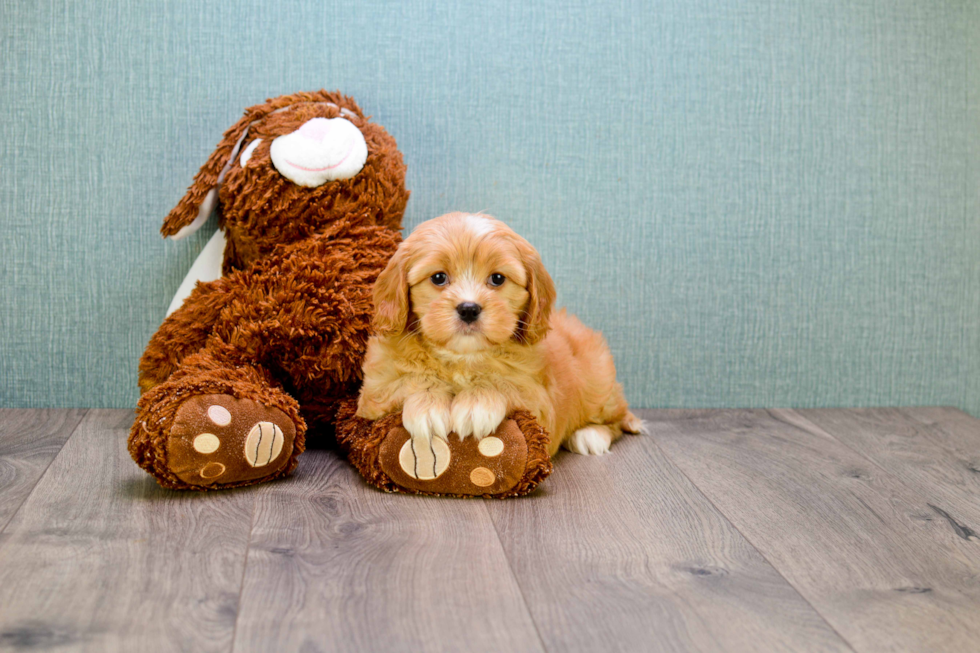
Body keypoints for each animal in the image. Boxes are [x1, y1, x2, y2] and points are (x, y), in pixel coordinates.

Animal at [352, 211, 644, 456]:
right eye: (438, 278)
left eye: (498, 279)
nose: (469, 309)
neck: (461, 358)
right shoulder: (374, 391)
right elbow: (409, 380)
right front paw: (427, 406)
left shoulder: (540, 402)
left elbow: (503, 382)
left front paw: (476, 403)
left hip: (597, 381)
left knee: (616, 417)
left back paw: (591, 435)